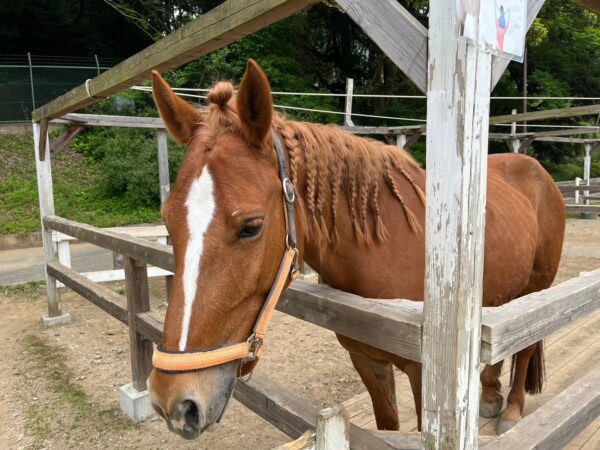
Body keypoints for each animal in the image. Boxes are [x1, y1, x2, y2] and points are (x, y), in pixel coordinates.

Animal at [148, 59, 564, 440]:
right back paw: (490, 395)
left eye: (251, 226)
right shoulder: (368, 363)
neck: (382, 252)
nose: (175, 402)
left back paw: (511, 410)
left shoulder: (421, 377)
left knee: (525, 347)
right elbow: (387, 427)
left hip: (537, 290)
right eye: (167, 220)